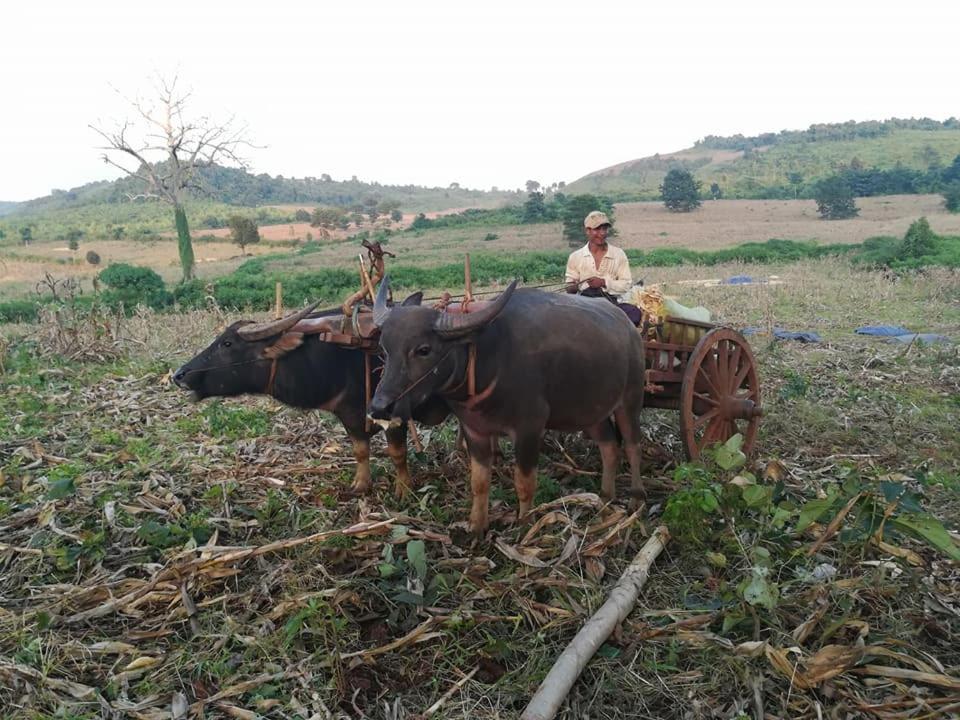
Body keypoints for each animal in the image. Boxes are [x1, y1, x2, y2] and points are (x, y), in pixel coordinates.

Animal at [174, 300, 448, 498]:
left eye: (227, 343)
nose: (180, 374)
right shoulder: (349, 415)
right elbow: (360, 450)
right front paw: (361, 485)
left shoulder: (393, 415)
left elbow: (397, 453)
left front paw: (404, 490)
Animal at [368, 276, 644, 536]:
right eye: (384, 348)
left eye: (423, 349)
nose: (380, 407)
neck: (487, 360)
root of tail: (629, 328)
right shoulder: (475, 431)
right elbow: (479, 482)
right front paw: (477, 527)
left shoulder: (529, 429)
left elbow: (524, 483)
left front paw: (525, 524)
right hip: (592, 412)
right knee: (609, 446)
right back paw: (606, 497)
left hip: (630, 401)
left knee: (632, 446)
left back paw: (635, 500)